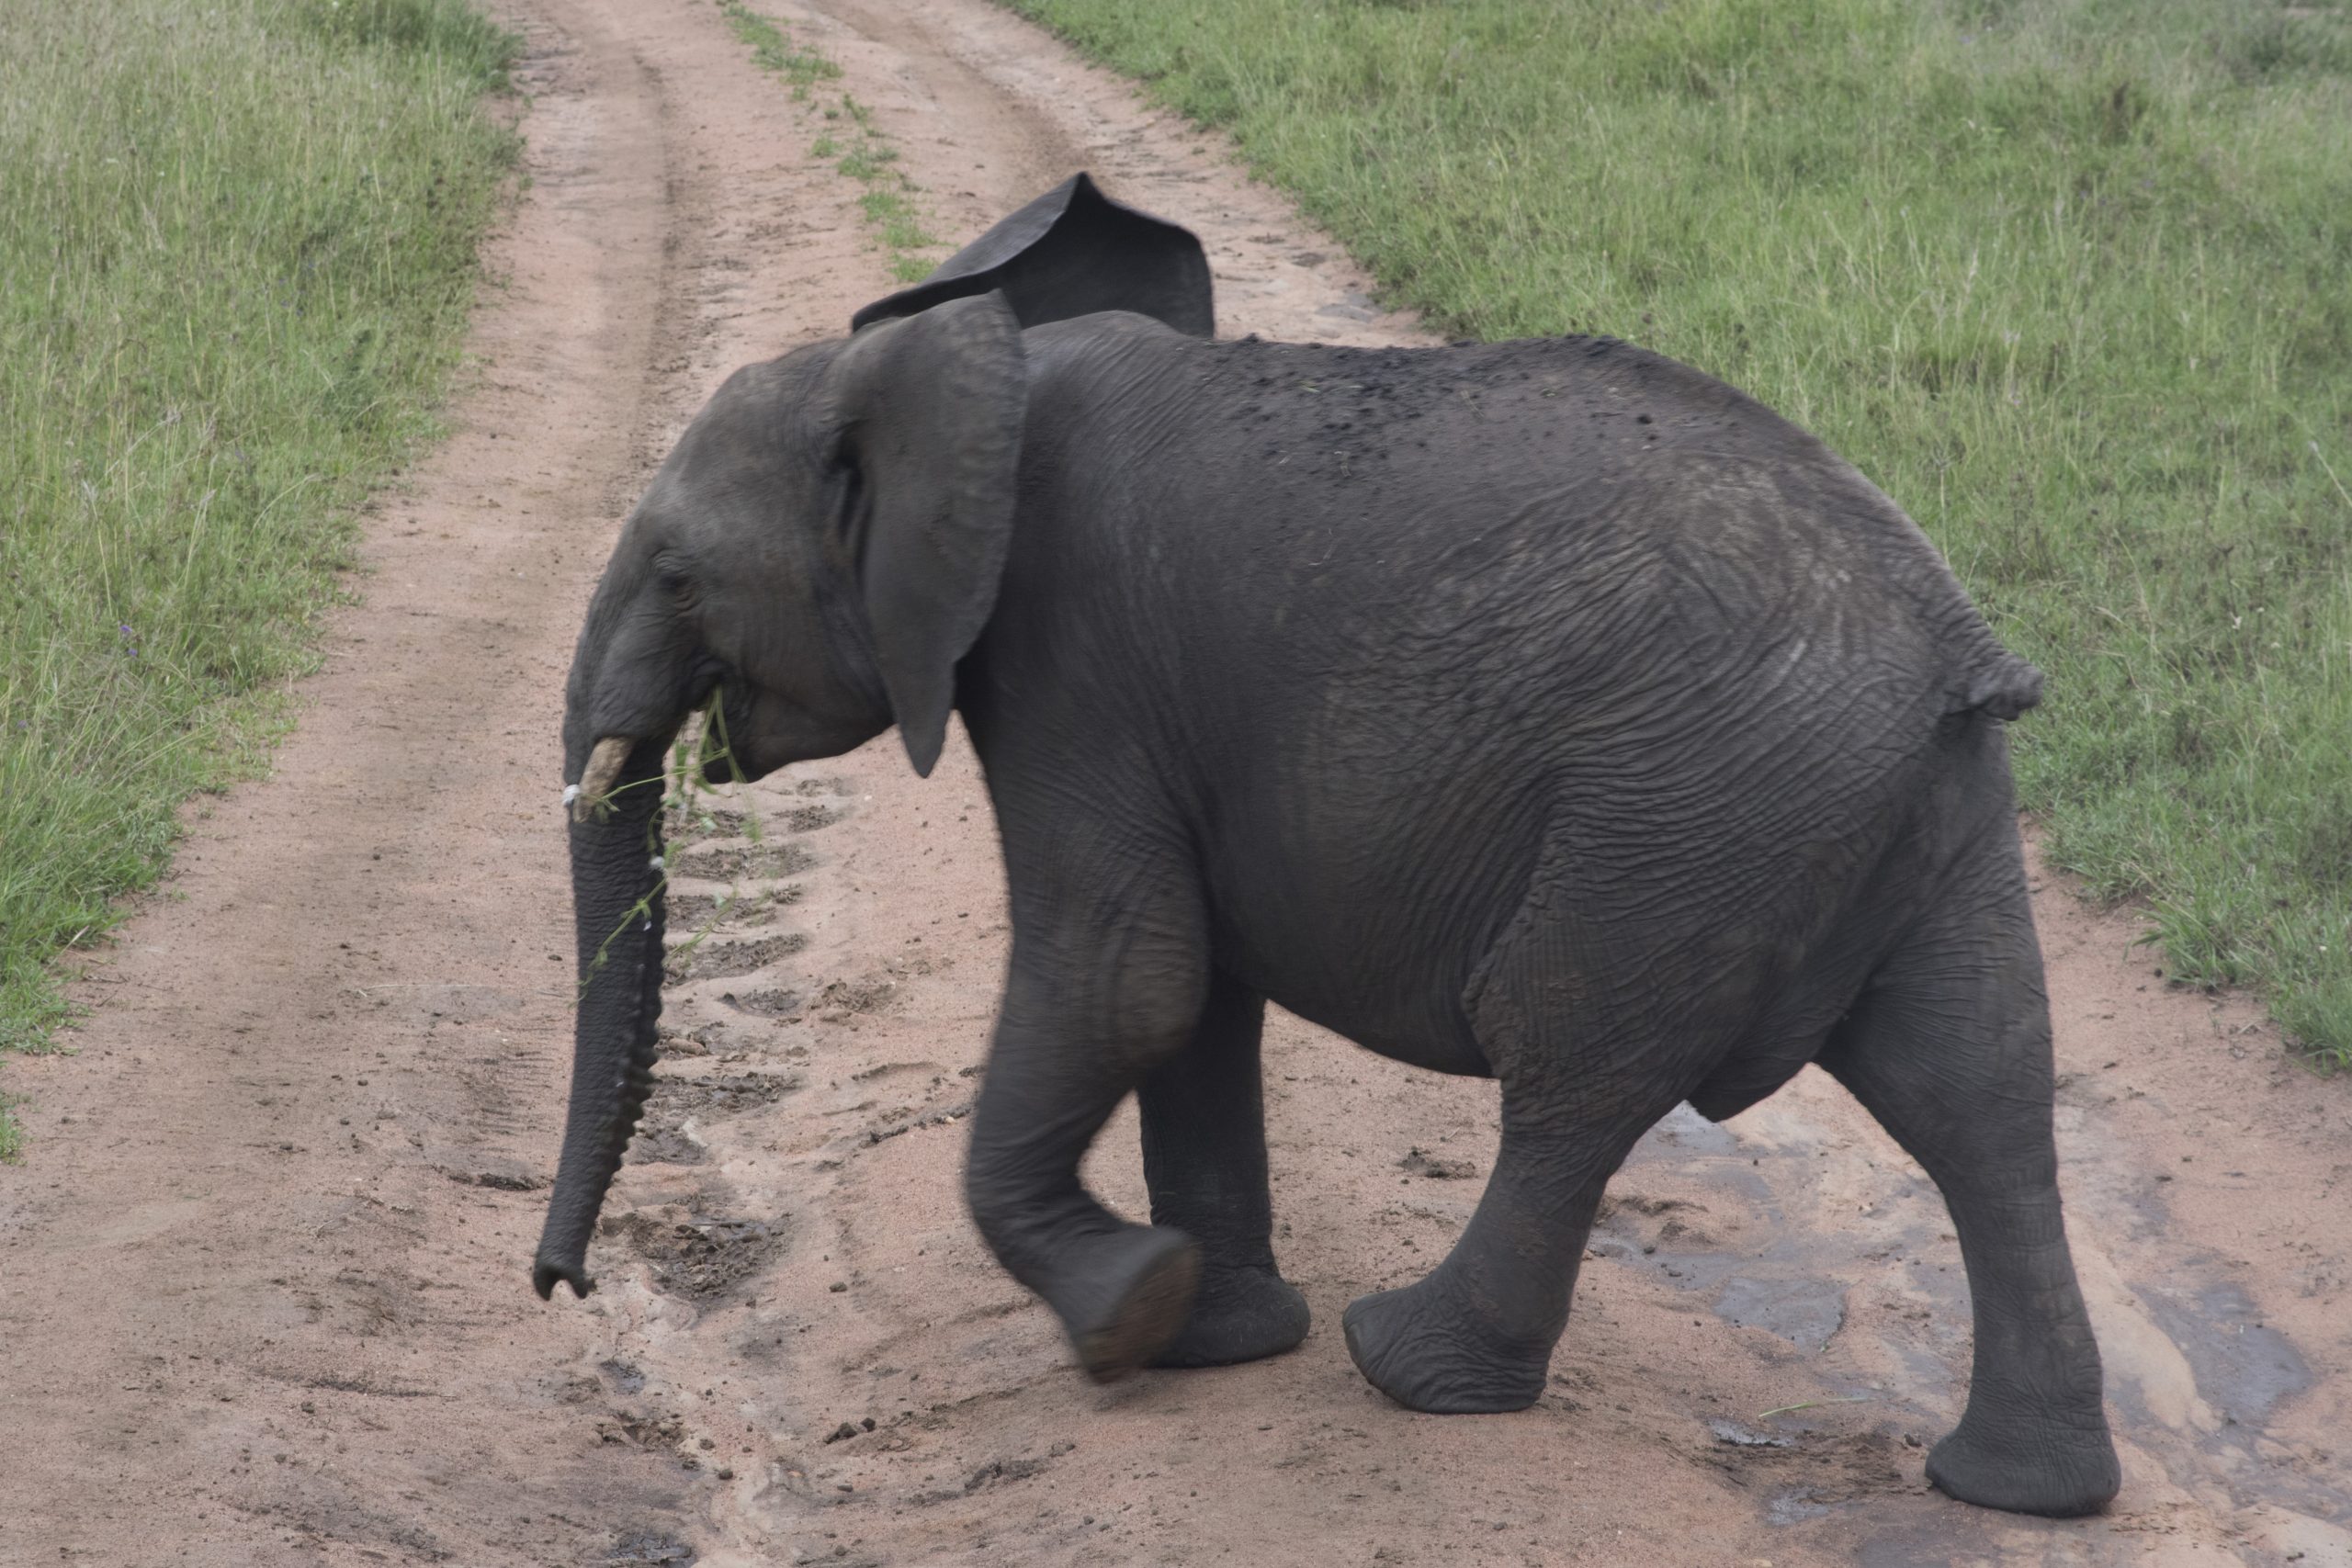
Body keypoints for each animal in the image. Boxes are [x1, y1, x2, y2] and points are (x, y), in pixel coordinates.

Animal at [532, 172, 2122, 1518]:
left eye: (679, 575)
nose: (561, 1285)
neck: (967, 364)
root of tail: (1954, 655)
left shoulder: (1068, 663)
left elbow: (1128, 971)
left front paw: (1134, 1316)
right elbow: (1190, 998)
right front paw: (1213, 1335)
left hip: (1690, 809)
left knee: (1573, 1059)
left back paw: (1404, 1363)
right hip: (1903, 810)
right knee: (1978, 1084)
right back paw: (2023, 1489)